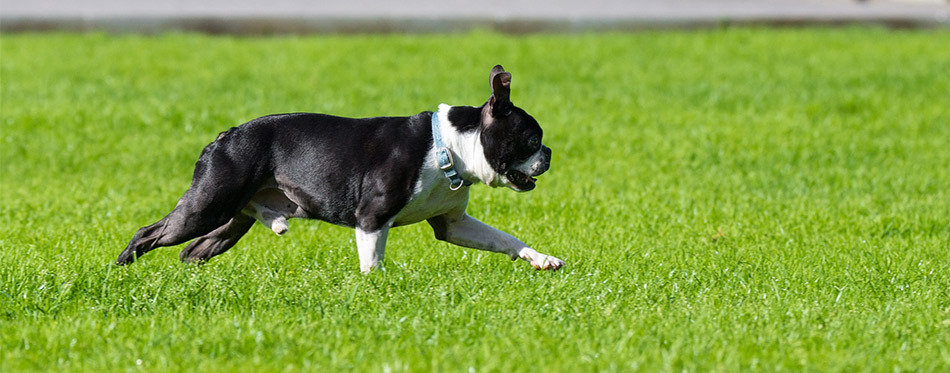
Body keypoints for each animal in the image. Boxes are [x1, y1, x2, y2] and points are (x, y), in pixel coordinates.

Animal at [117, 65, 564, 272]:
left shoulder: (454, 225)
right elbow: (373, 263)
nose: (550, 153)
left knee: (193, 251)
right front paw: (374, 290)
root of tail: (226, 135)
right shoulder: (371, 219)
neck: (446, 147)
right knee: (149, 232)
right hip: (207, 204)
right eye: (531, 138)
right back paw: (122, 267)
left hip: (231, 220)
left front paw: (540, 259)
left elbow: (506, 239)